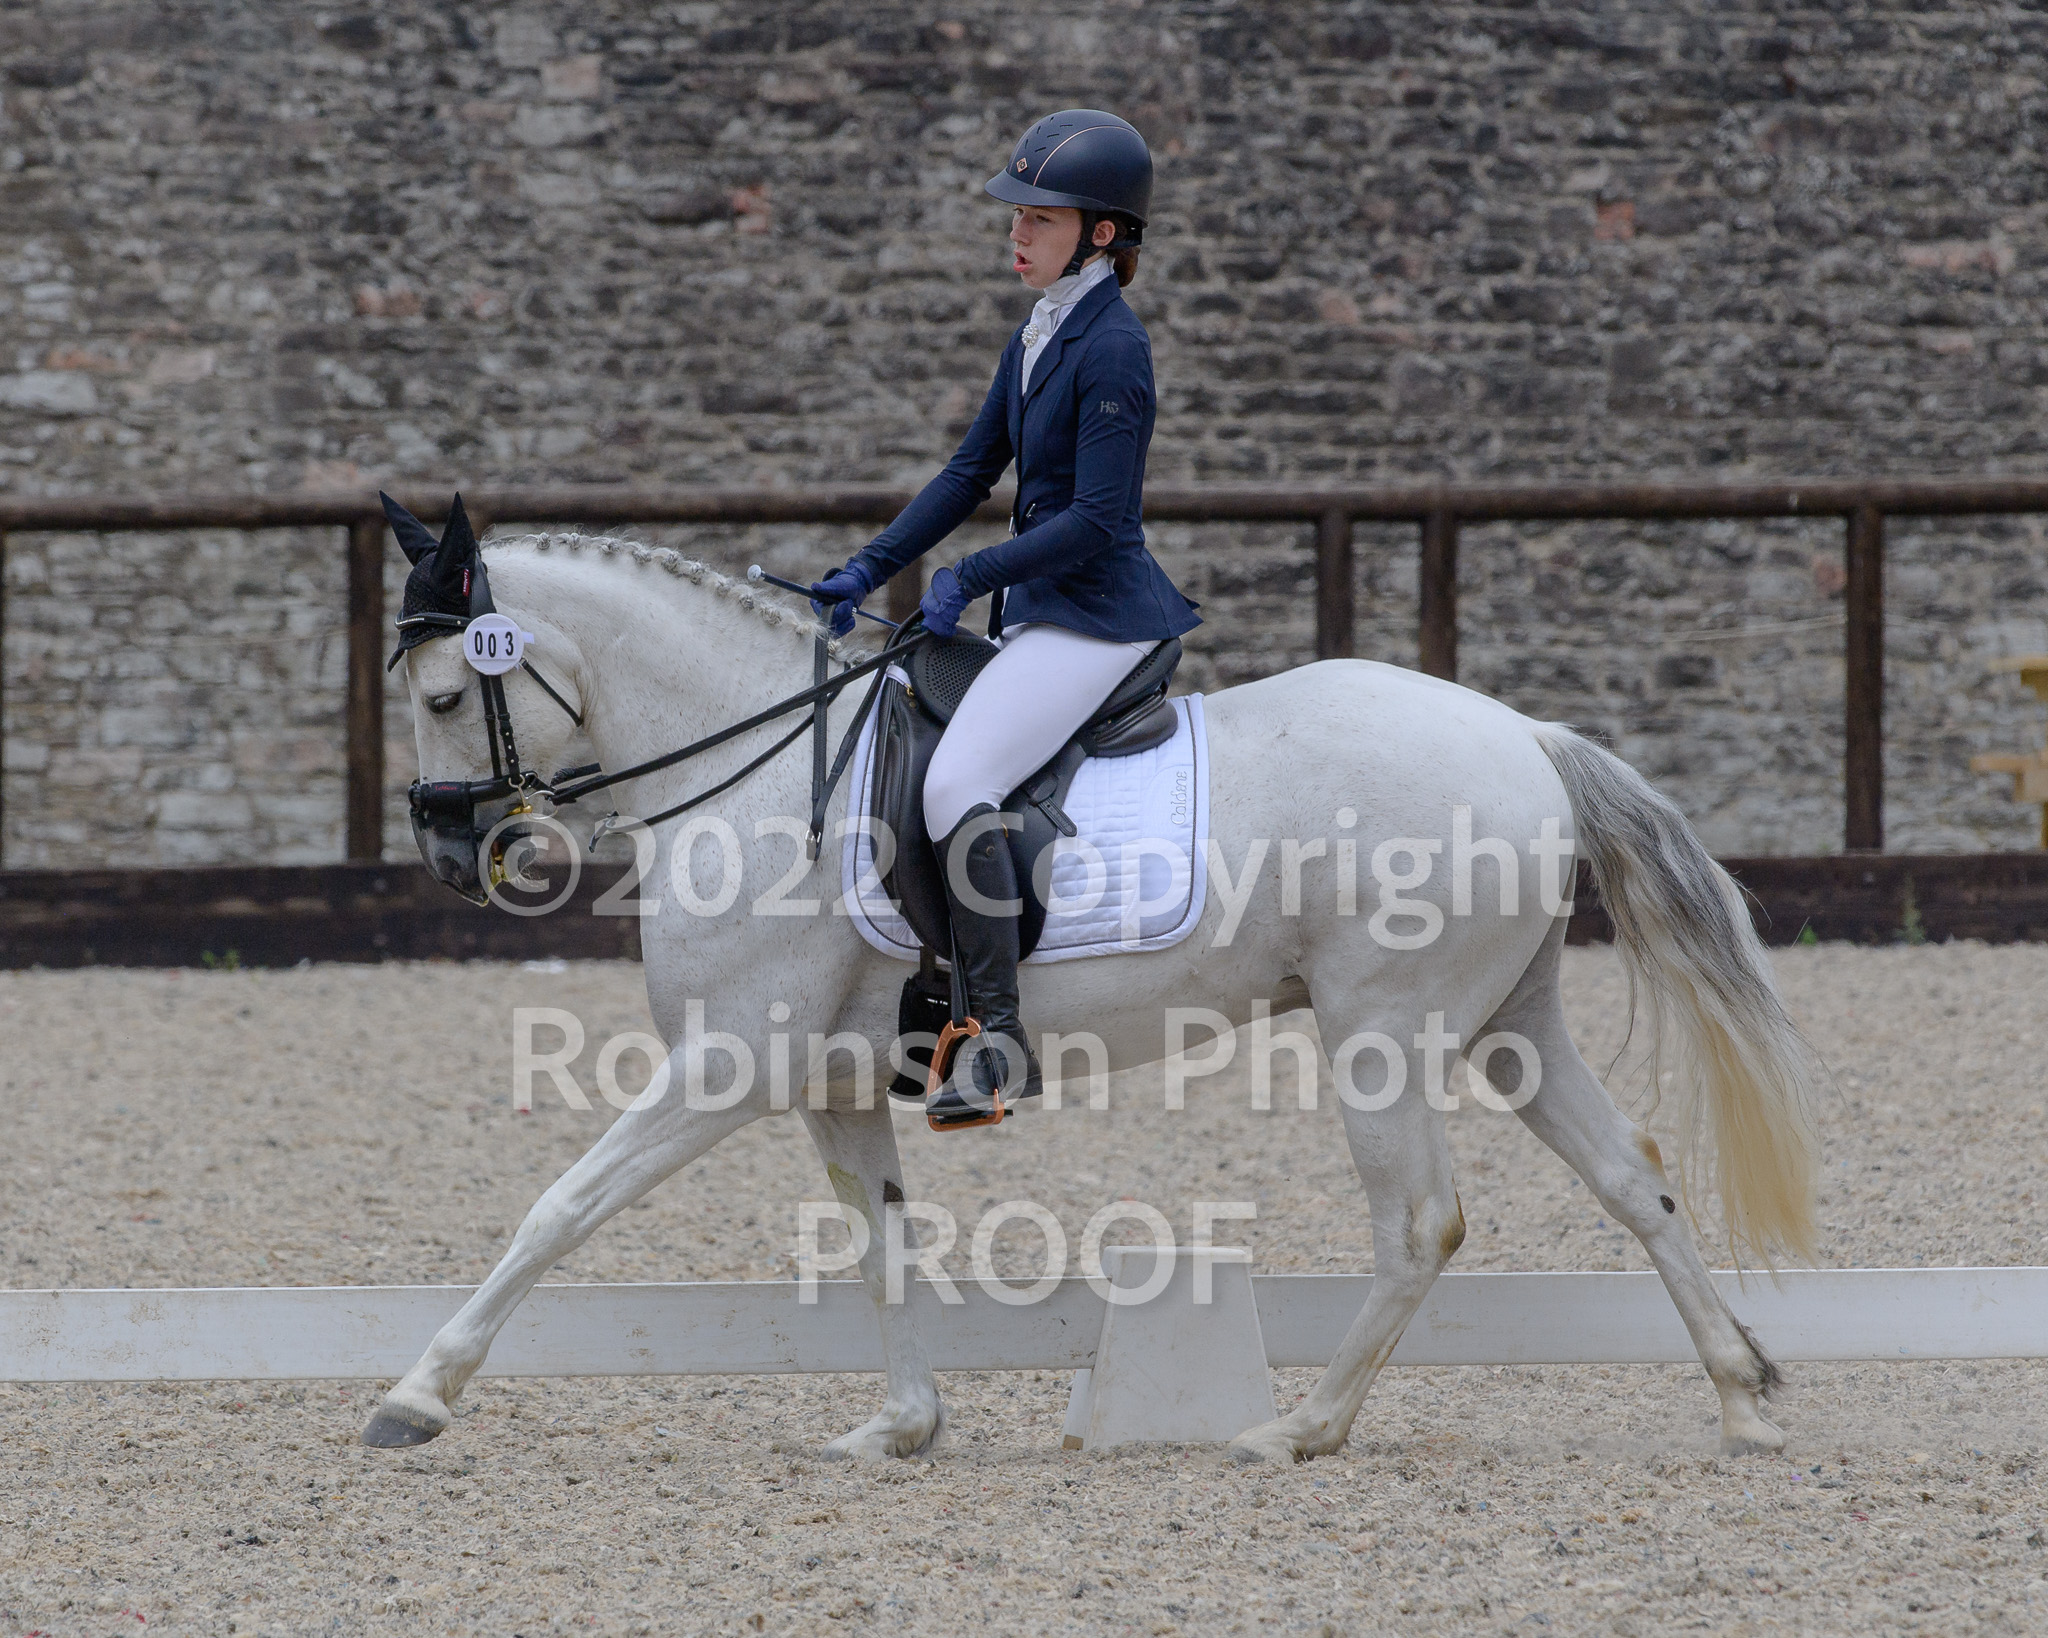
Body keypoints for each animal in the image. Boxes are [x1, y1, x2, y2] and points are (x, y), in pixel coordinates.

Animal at [362, 520, 1822, 1466]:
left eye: (439, 695)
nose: (449, 850)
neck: (759, 767)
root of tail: (1524, 731)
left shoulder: (728, 1065)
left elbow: (560, 1206)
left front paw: (417, 1395)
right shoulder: (830, 1082)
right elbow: (883, 1244)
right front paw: (902, 1427)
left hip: (1384, 1032)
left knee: (1420, 1220)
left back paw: (1297, 1429)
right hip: (1507, 1025)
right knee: (1632, 1176)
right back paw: (1744, 1397)